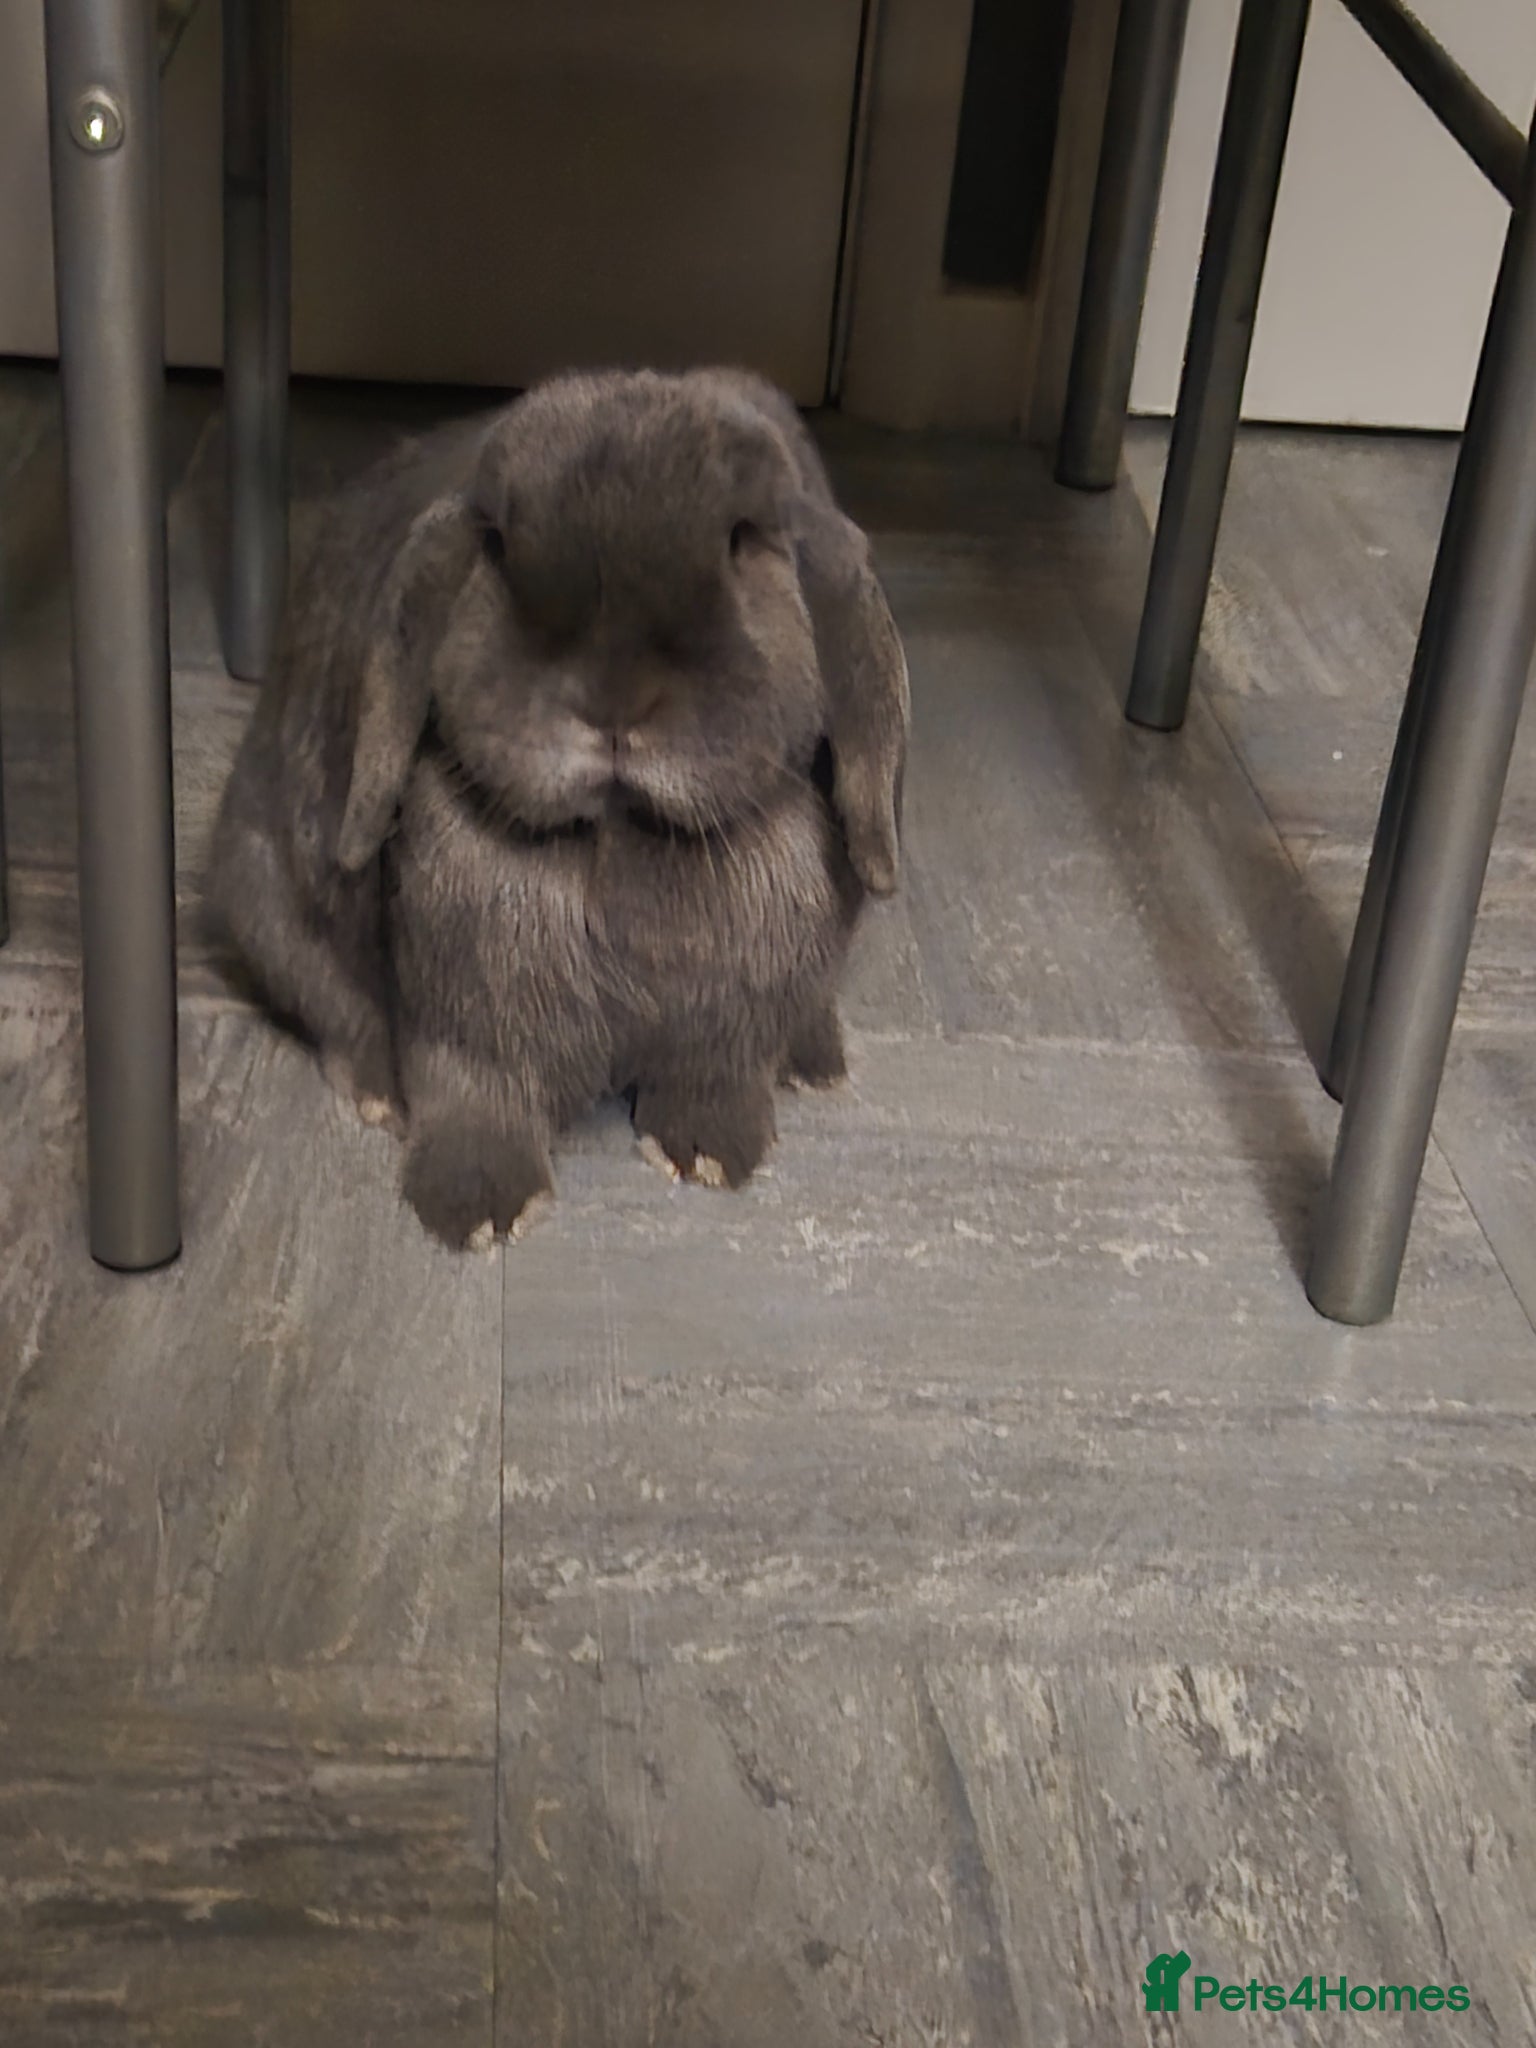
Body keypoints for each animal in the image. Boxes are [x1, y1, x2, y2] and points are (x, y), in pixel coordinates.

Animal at [209, 366, 910, 1248]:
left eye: (743, 540)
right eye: (501, 547)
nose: (612, 700)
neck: (619, 836)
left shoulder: (731, 1024)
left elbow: (718, 1075)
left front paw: (711, 1154)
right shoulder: (468, 1023)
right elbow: (475, 1093)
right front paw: (479, 1209)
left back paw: (816, 1065)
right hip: (267, 908)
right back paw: (376, 1096)